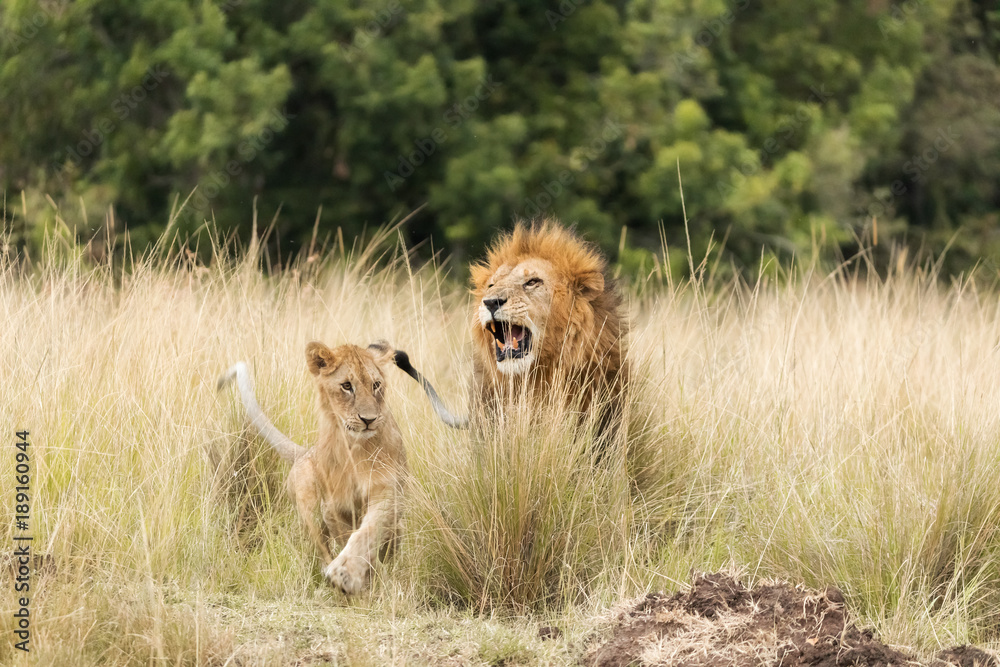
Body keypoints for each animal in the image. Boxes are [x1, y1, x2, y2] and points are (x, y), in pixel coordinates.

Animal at [218, 341, 407, 595]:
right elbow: (347, 537)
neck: (354, 447)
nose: (368, 420)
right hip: (309, 507)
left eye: (376, 385)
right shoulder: (333, 507)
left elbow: (367, 531)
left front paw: (352, 575)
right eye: (347, 386)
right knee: (321, 546)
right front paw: (354, 579)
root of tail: (304, 452)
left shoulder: (388, 493)